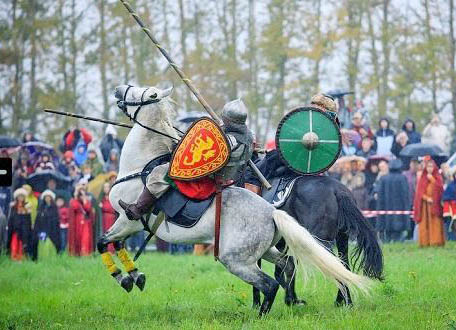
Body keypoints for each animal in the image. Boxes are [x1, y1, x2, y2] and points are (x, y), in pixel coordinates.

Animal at [244, 151, 382, 306]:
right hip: (341, 238)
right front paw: (292, 299)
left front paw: (262, 302)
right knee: (343, 264)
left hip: (321, 241)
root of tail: (337, 190)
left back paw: (345, 302)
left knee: (334, 264)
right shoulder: (285, 243)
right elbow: (287, 268)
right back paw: (344, 301)